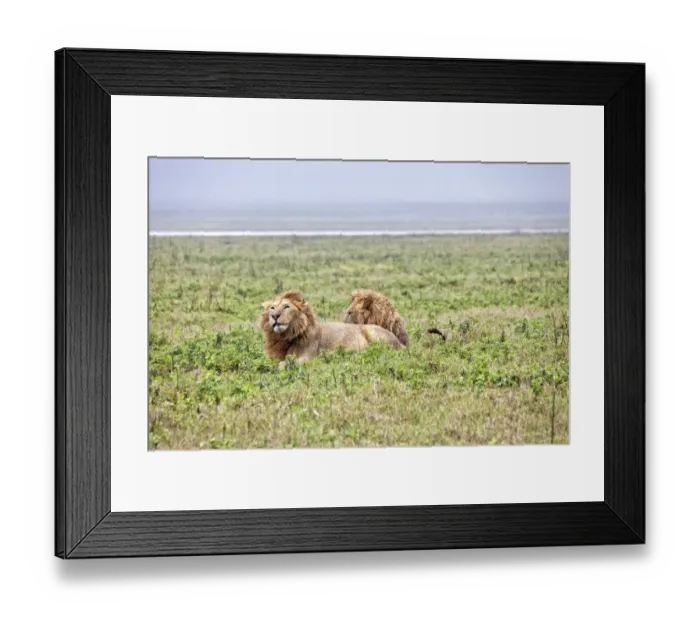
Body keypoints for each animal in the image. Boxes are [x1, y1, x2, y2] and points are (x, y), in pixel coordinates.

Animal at [259, 290, 404, 363]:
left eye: (286, 307)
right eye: (272, 308)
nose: (275, 316)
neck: (285, 337)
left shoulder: (309, 356)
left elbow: (286, 363)